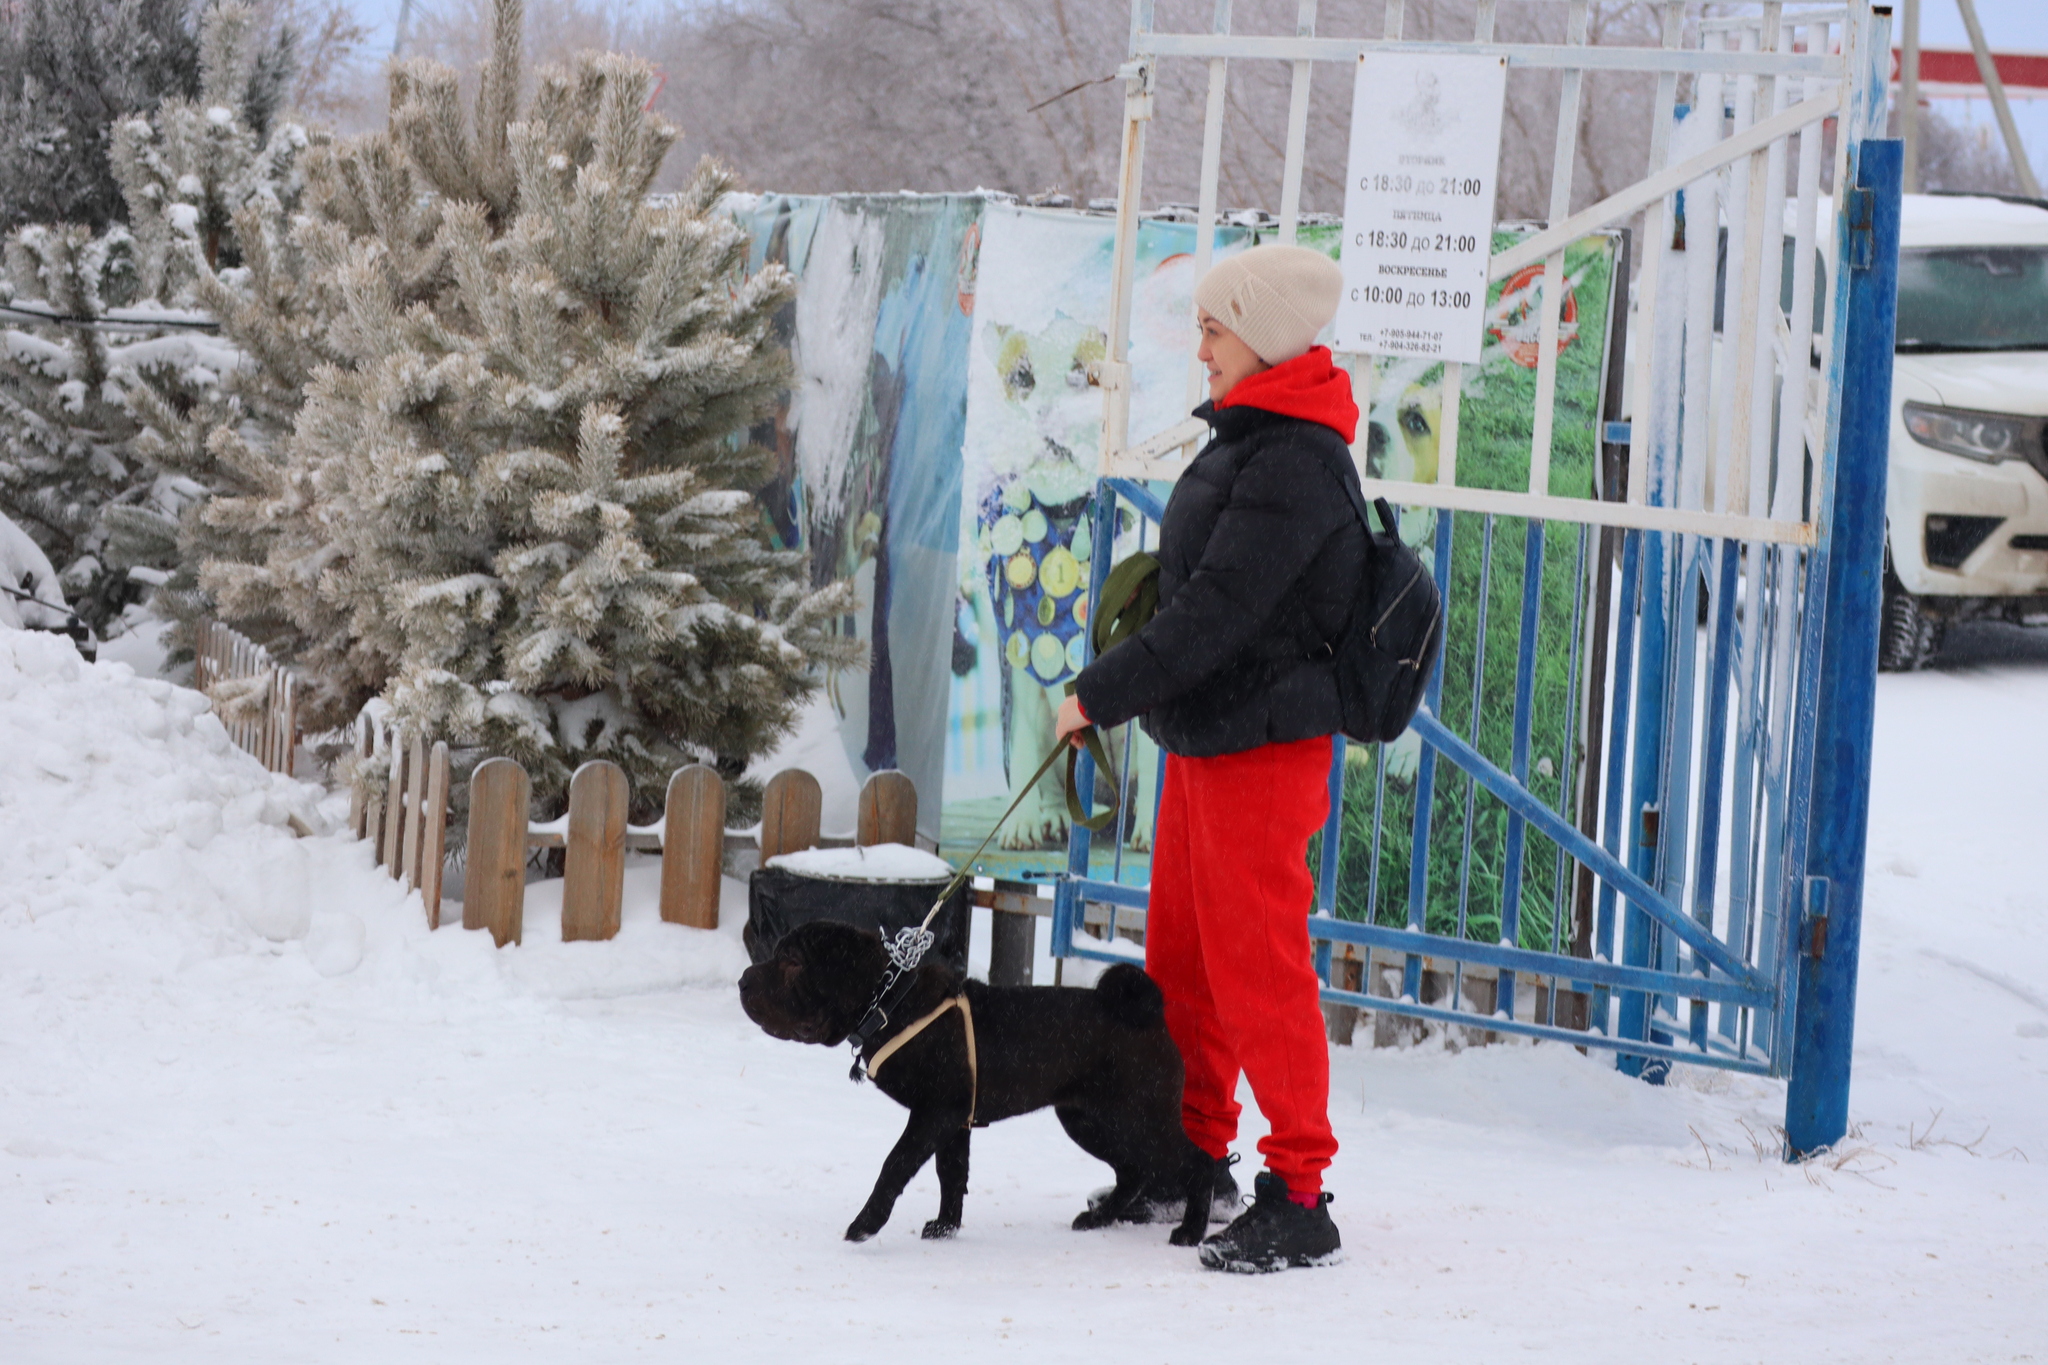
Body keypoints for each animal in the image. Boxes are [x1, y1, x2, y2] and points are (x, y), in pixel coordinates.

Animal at [741, 916, 1204, 1252]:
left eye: (793, 963)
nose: (744, 980)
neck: (890, 1003)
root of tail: (1150, 1015)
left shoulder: (935, 1112)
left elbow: (895, 1165)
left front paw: (866, 1224)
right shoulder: (954, 1120)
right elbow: (951, 1172)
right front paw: (946, 1227)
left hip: (1140, 1116)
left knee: (1196, 1159)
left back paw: (1191, 1233)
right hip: (1089, 1120)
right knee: (1134, 1170)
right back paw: (1099, 1218)